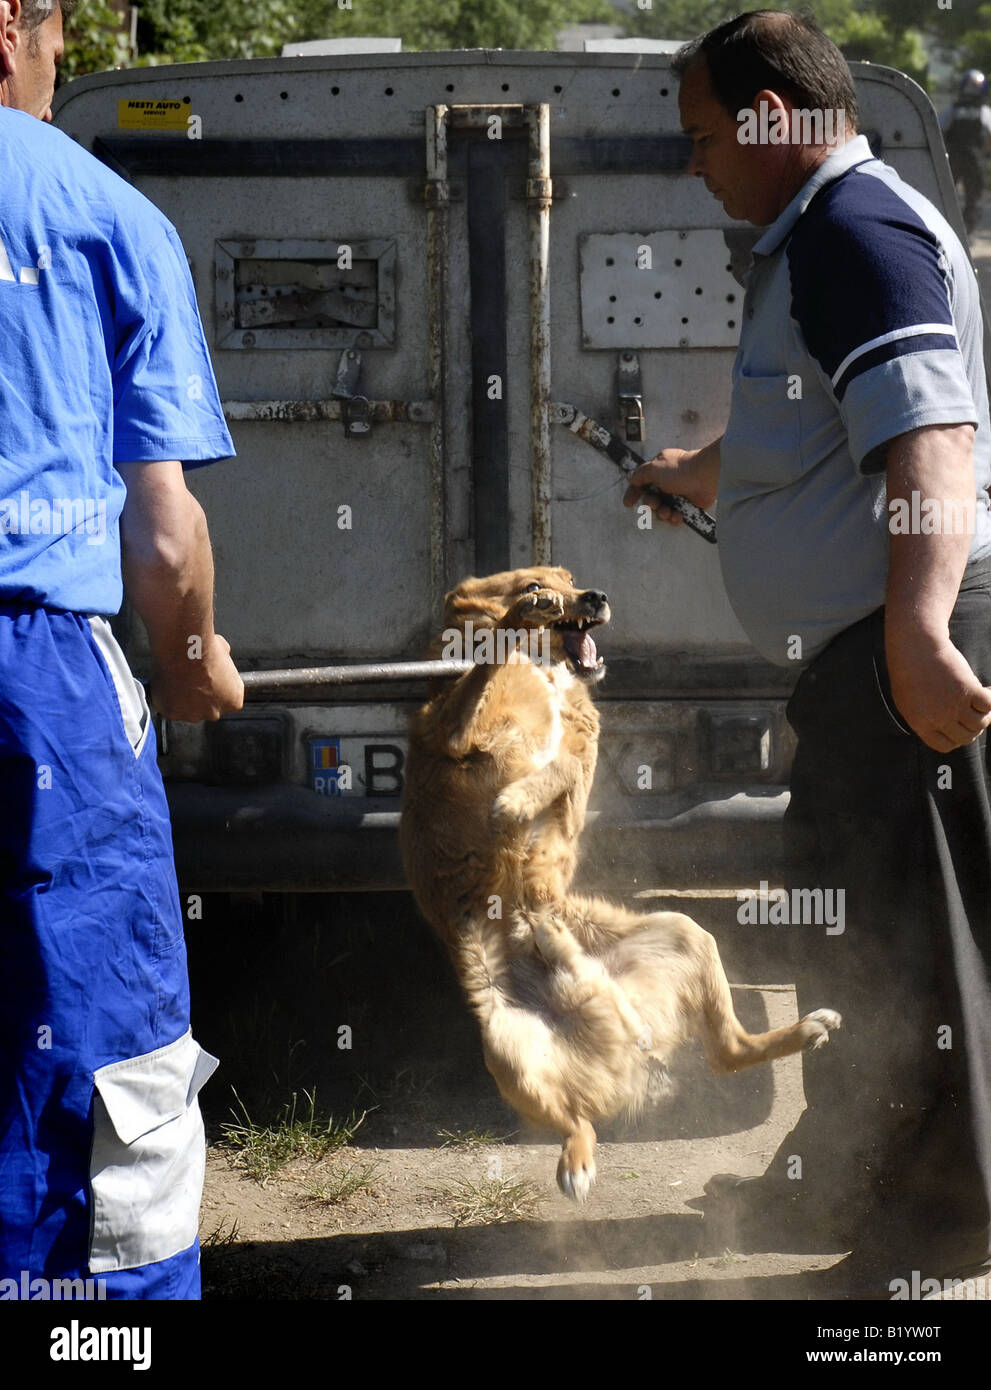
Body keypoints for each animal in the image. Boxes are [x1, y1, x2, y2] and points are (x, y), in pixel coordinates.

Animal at [397, 569, 839, 1200]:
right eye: (535, 579)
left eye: (571, 578)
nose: (595, 597)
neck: (549, 676)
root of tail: (634, 1045)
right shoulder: (454, 733)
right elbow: (494, 672)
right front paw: (519, 619)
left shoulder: (578, 771)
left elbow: (559, 766)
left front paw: (517, 801)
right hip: (507, 1045)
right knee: (582, 1120)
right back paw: (576, 1163)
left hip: (683, 930)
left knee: (725, 1053)